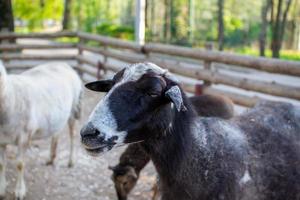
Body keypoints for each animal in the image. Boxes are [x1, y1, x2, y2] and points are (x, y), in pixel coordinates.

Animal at [0, 61, 82, 200]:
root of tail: (64, 63)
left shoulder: (24, 135)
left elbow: (20, 164)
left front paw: (20, 191)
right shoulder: (1, 140)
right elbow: (1, 164)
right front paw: (1, 189)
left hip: (73, 108)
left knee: (73, 134)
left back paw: (71, 161)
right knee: (56, 133)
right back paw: (51, 158)